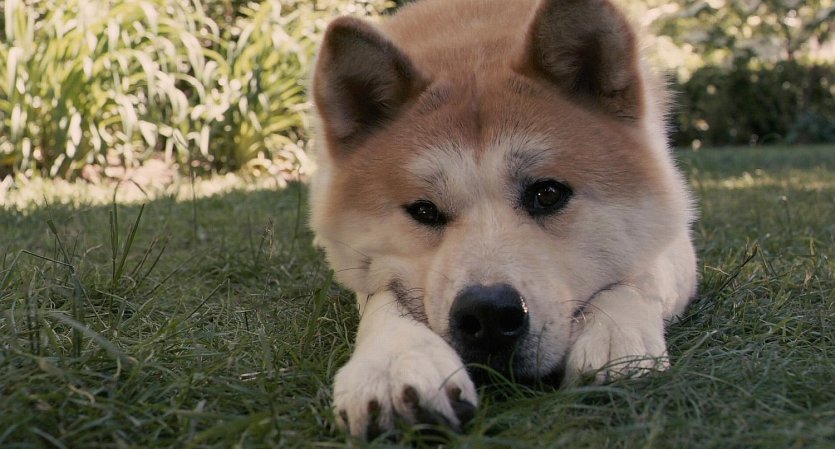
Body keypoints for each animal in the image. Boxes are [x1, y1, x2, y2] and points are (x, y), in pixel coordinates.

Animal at [309, 0, 697, 439]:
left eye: (548, 194)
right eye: (424, 210)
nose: (488, 314)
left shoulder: (675, 240)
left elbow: (640, 276)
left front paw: (615, 336)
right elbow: (385, 297)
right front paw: (395, 361)